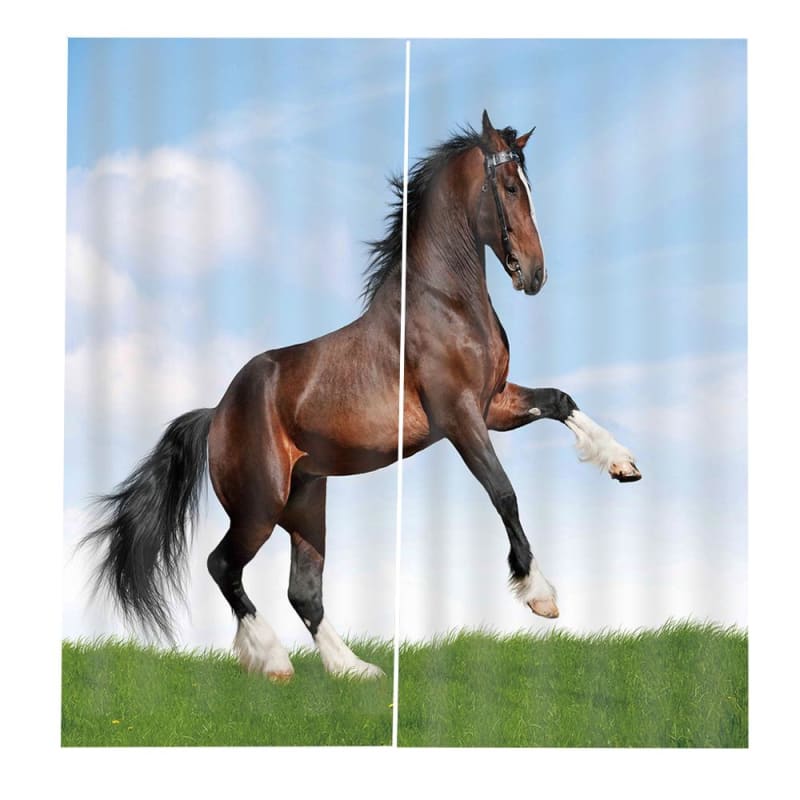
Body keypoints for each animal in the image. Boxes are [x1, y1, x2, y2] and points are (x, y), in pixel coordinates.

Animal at [82, 110, 640, 681]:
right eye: (509, 186)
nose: (535, 274)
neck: (447, 304)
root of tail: (216, 413)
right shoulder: (460, 417)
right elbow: (504, 492)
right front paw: (540, 595)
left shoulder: (495, 404)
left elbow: (560, 400)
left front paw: (623, 464)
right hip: (260, 505)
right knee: (224, 566)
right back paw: (274, 659)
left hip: (307, 502)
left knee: (303, 590)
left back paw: (353, 669)